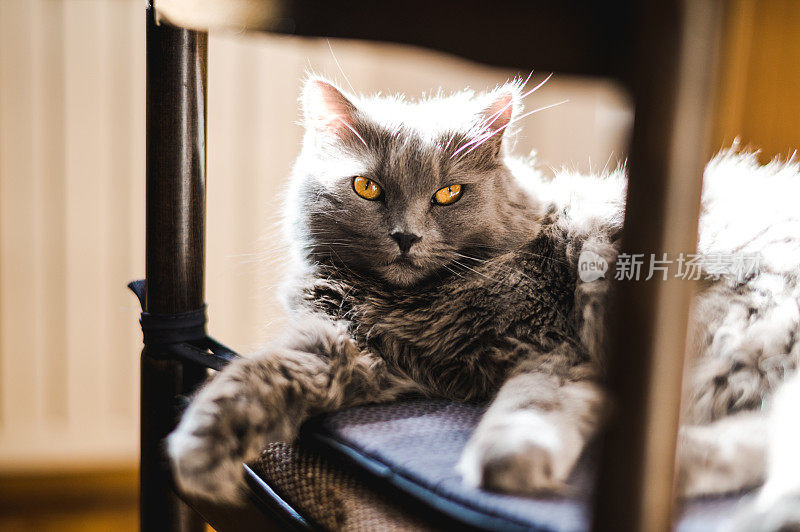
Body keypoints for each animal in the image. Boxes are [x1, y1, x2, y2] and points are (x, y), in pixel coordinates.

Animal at [166, 76, 800, 528]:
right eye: (368, 188)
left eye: (448, 194)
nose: (405, 237)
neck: (415, 305)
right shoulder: (350, 348)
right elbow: (250, 378)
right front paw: (200, 453)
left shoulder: (560, 347)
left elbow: (528, 410)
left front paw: (508, 468)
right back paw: (679, 465)